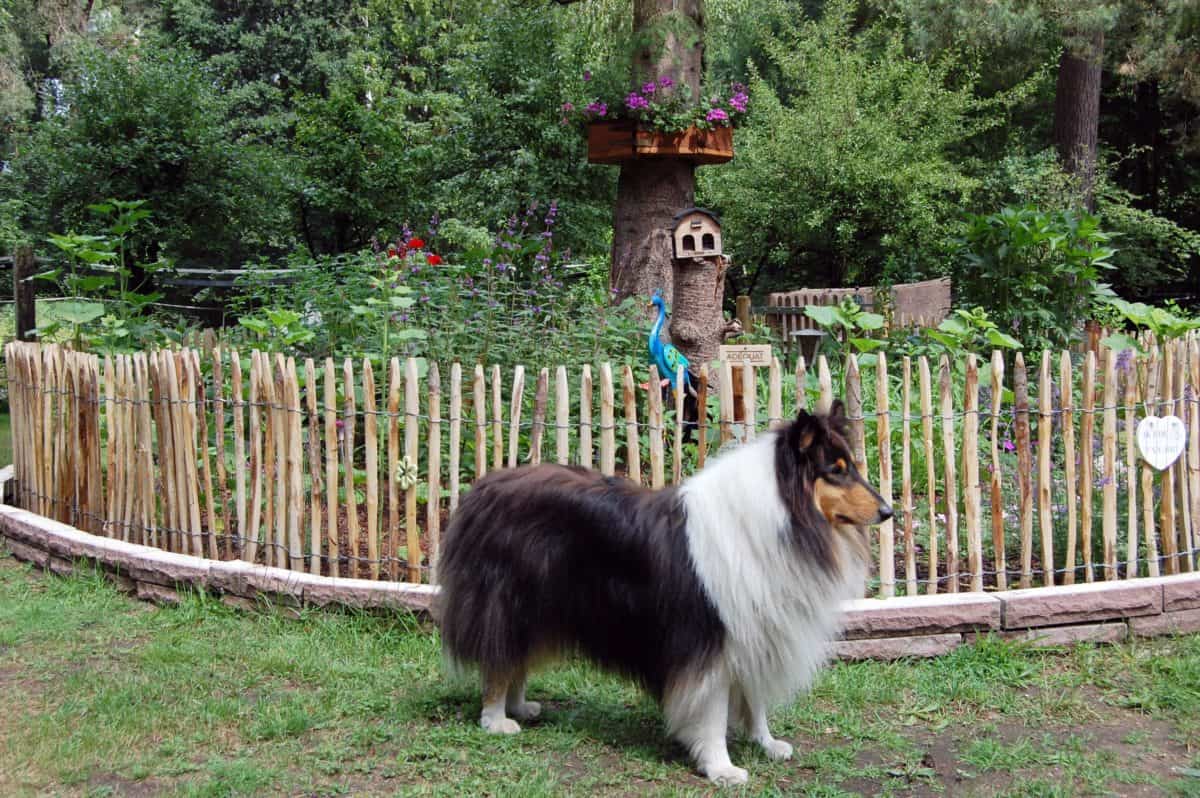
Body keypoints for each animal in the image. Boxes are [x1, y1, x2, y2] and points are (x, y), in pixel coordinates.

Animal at [436, 400, 888, 782]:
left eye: (853, 466)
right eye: (836, 470)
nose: (888, 511)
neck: (786, 517)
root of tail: (481, 490)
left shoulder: (757, 629)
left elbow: (755, 700)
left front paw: (766, 743)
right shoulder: (708, 643)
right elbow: (713, 712)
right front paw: (721, 768)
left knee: (515, 657)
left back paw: (519, 706)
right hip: (509, 603)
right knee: (499, 659)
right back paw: (496, 719)